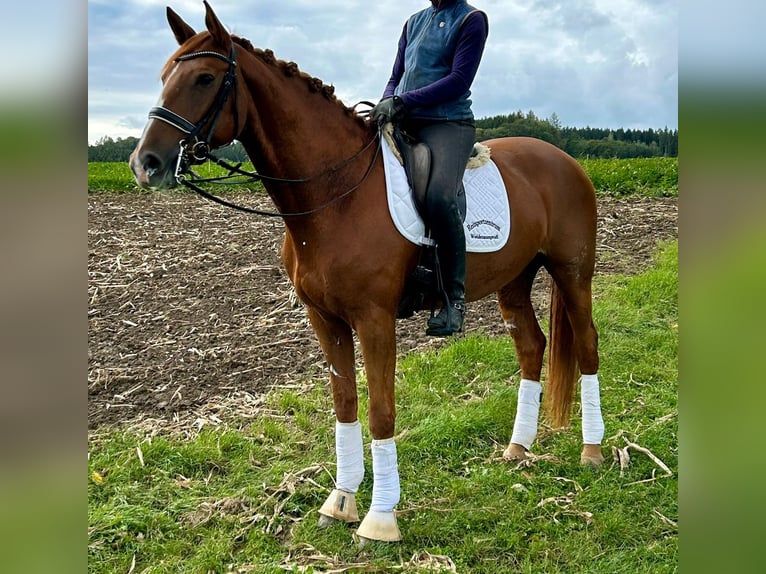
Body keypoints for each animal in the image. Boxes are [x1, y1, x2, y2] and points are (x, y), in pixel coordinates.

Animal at [129, 1, 608, 544]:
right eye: (164, 76)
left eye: (205, 78)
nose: (145, 164)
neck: (335, 196)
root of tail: (564, 159)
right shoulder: (326, 320)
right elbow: (345, 405)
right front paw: (340, 501)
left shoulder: (374, 320)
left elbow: (381, 411)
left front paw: (380, 518)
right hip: (514, 281)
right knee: (531, 347)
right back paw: (517, 449)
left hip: (573, 272)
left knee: (587, 344)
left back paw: (593, 451)